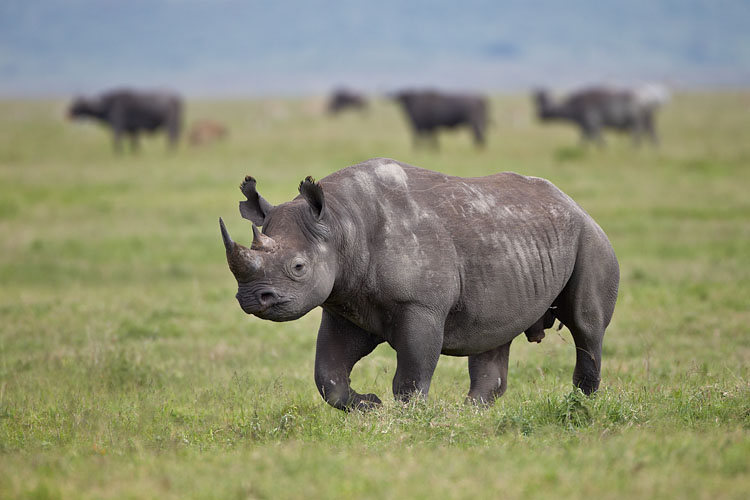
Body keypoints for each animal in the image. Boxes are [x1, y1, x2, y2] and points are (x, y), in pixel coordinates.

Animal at [220, 158, 619, 410]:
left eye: (299, 267)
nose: (252, 299)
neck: (340, 224)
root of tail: (575, 203)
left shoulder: (421, 306)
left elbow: (411, 374)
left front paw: (410, 418)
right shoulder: (343, 303)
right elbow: (328, 376)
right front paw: (370, 406)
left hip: (590, 239)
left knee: (586, 327)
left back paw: (581, 403)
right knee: (494, 334)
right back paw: (470, 413)